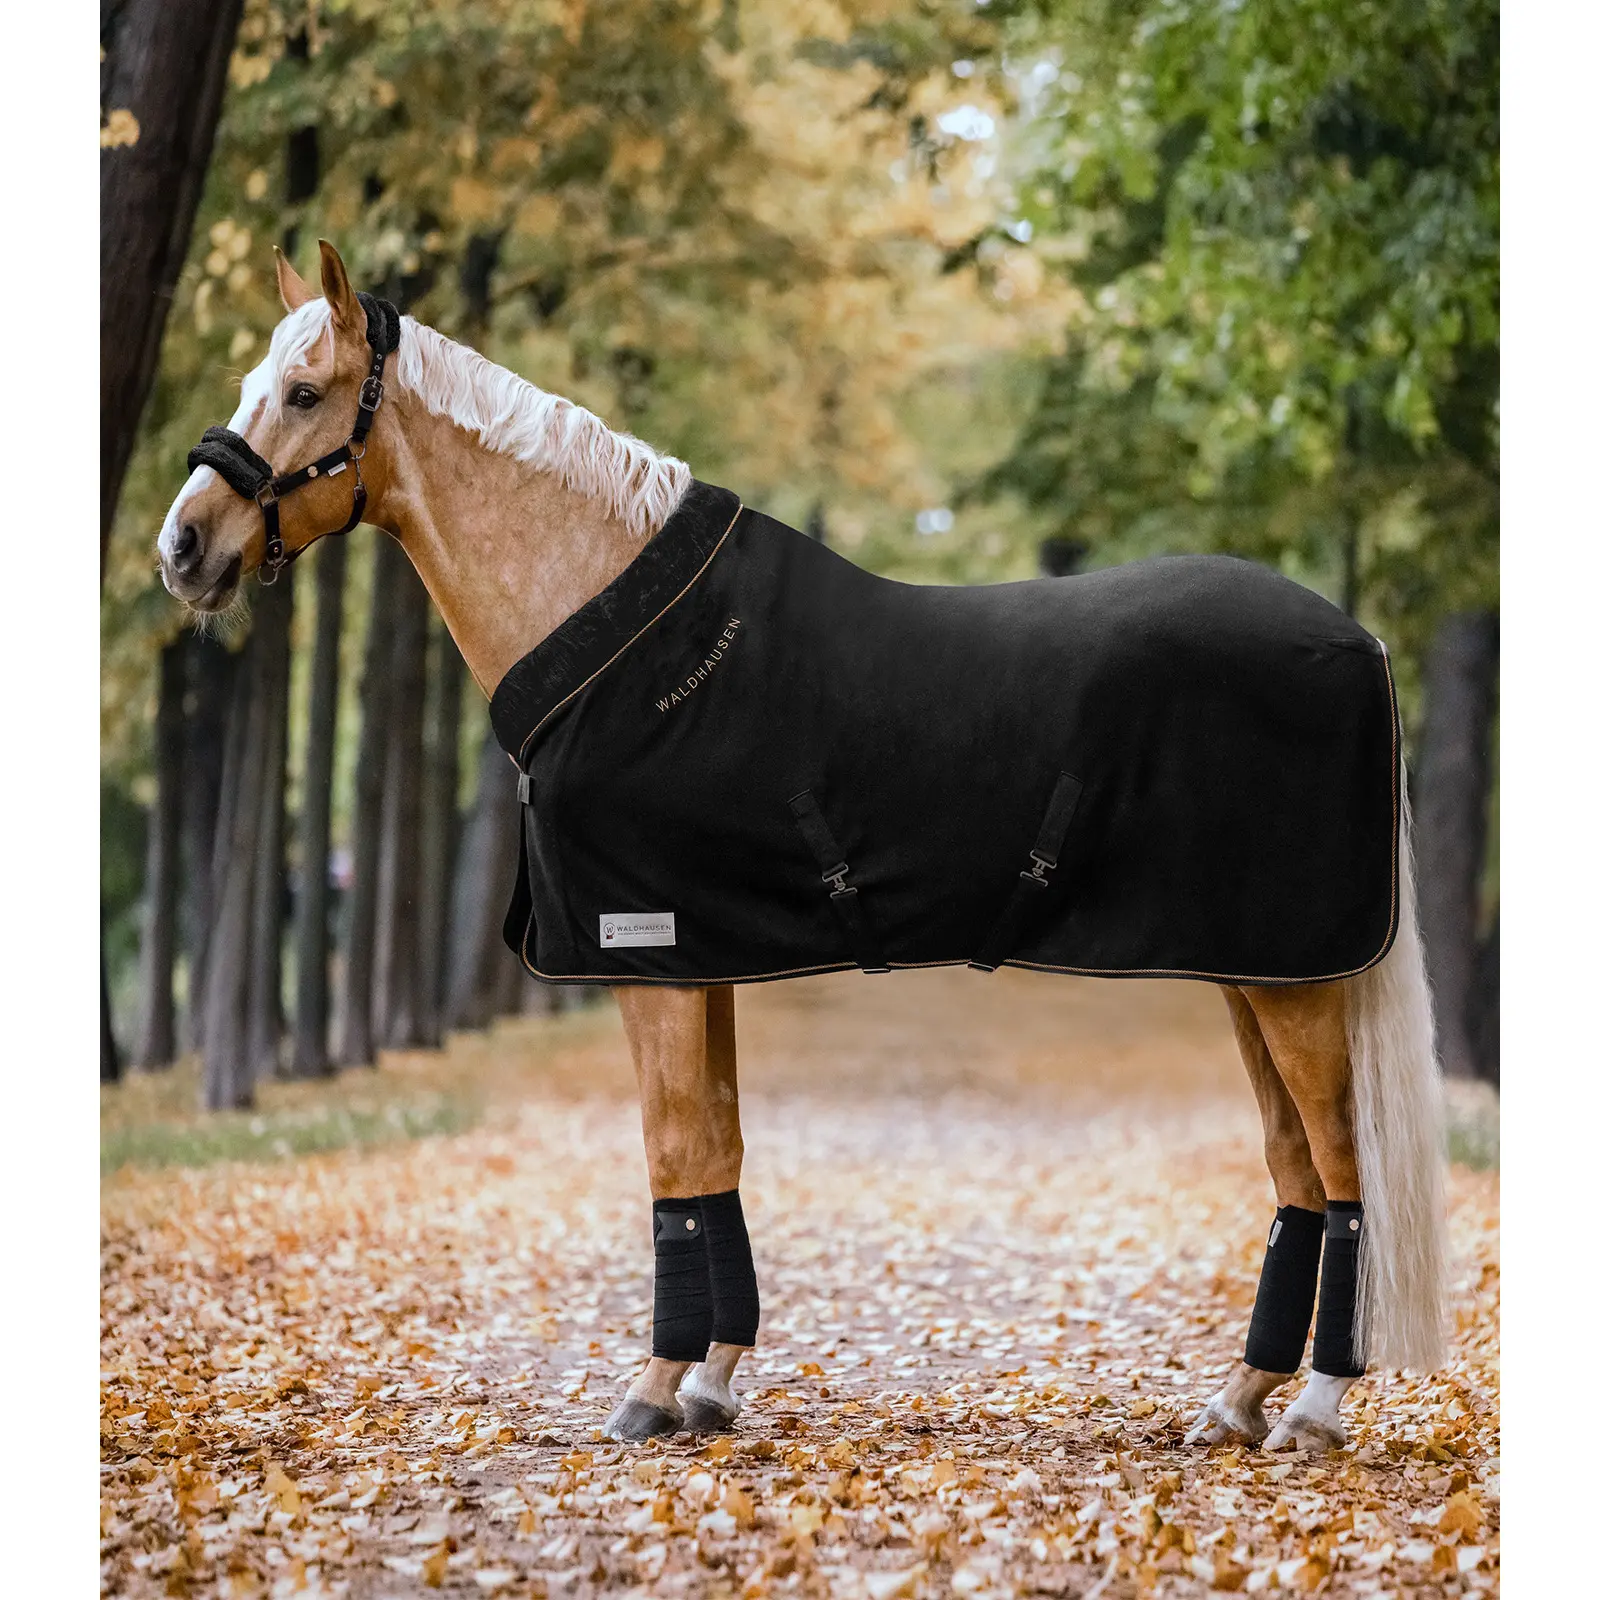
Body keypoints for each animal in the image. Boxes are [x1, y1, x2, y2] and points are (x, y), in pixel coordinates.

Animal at [156, 241, 1448, 1451]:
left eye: (306, 390)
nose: (183, 548)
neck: (618, 634)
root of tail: (1360, 640)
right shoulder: (699, 958)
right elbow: (718, 1151)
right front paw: (714, 1382)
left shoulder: (646, 959)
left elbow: (674, 1159)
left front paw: (652, 1388)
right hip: (1254, 970)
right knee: (1294, 1171)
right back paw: (1237, 1402)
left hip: (1291, 981)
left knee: (1342, 1171)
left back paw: (1315, 1406)